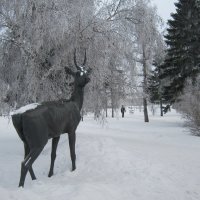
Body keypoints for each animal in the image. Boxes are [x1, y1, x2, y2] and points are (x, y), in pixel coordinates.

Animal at [11, 49, 91, 187]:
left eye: (86, 71)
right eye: (77, 72)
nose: (88, 78)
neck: (76, 103)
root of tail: (18, 116)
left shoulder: (56, 133)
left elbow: (53, 155)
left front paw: (50, 174)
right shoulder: (71, 129)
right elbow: (72, 153)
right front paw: (73, 170)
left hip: (26, 141)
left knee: (26, 161)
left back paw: (35, 180)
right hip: (39, 139)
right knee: (24, 163)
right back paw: (21, 186)